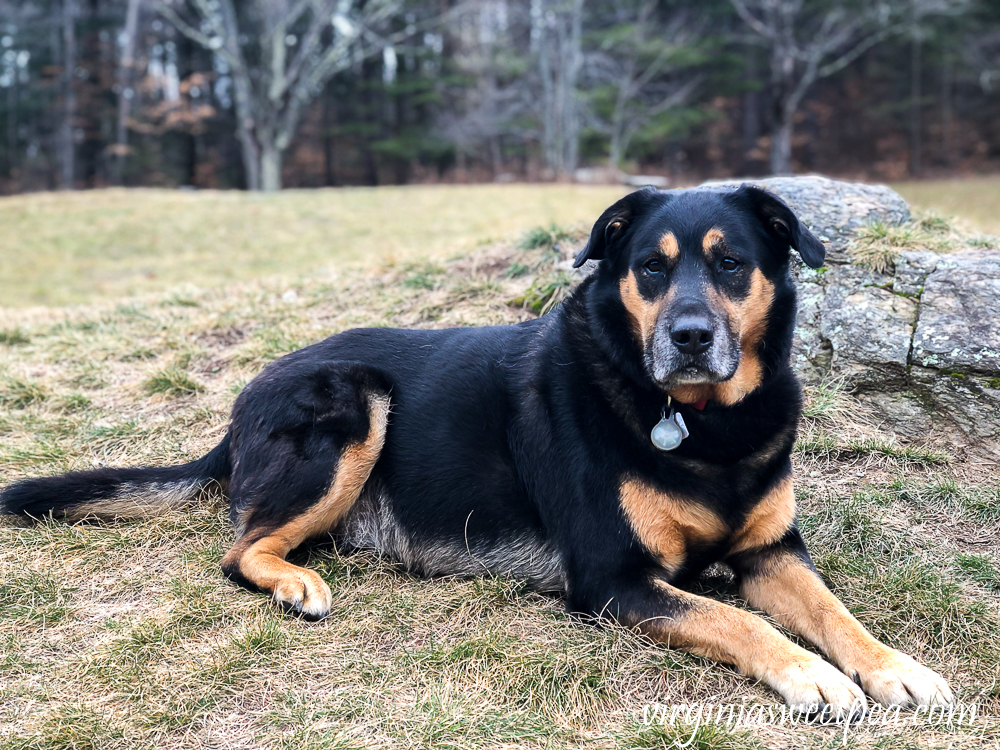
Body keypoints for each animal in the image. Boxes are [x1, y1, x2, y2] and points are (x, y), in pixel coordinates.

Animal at [0, 185, 952, 720]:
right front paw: (811, 678)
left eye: (731, 264)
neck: (701, 423)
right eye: (650, 268)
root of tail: (239, 409)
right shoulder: (613, 580)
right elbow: (743, 621)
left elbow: (836, 614)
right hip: (353, 402)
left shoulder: (772, 552)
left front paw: (896, 670)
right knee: (241, 551)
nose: (687, 338)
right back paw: (297, 581)